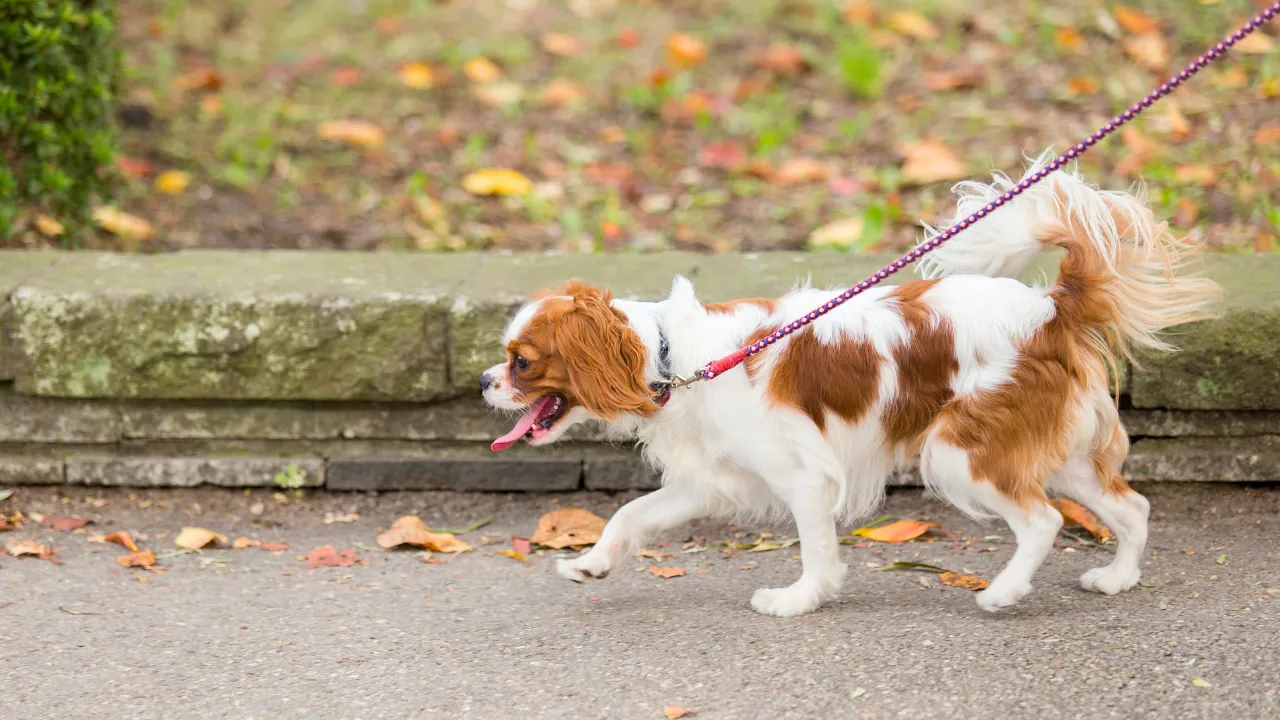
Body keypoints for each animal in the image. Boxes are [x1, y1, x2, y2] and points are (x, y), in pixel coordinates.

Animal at [481, 158, 1218, 617]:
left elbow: (816, 548)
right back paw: (1118, 578)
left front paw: (800, 599)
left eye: (521, 361)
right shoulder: (706, 480)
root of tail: (1047, 309)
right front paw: (592, 565)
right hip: (1058, 453)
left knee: (1043, 520)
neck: (672, 357)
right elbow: (631, 515)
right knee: (1130, 507)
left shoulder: (804, 476)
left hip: (960, 451)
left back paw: (1002, 595)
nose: (484, 381)